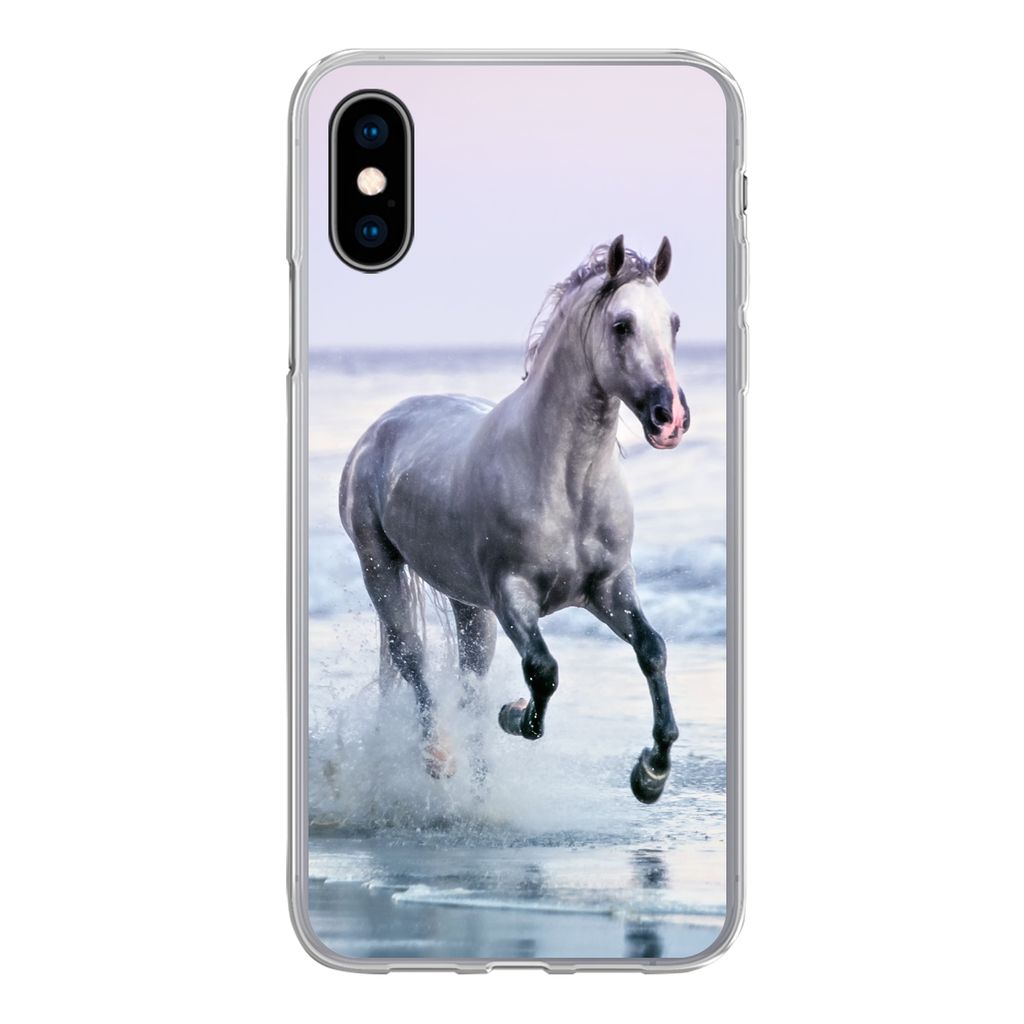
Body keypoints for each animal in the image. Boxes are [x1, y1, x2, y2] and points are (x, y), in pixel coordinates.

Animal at [339, 235, 690, 803]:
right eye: (622, 325)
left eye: (673, 322)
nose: (671, 418)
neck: (567, 481)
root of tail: (380, 427)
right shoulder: (512, 594)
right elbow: (542, 672)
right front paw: (515, 713)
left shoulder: (609, 588)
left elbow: (652, 650)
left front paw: (651, 775)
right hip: (381, 568)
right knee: (412, 658)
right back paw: (438, 756)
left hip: (466, 602)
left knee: (469, 678)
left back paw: (481, 790)